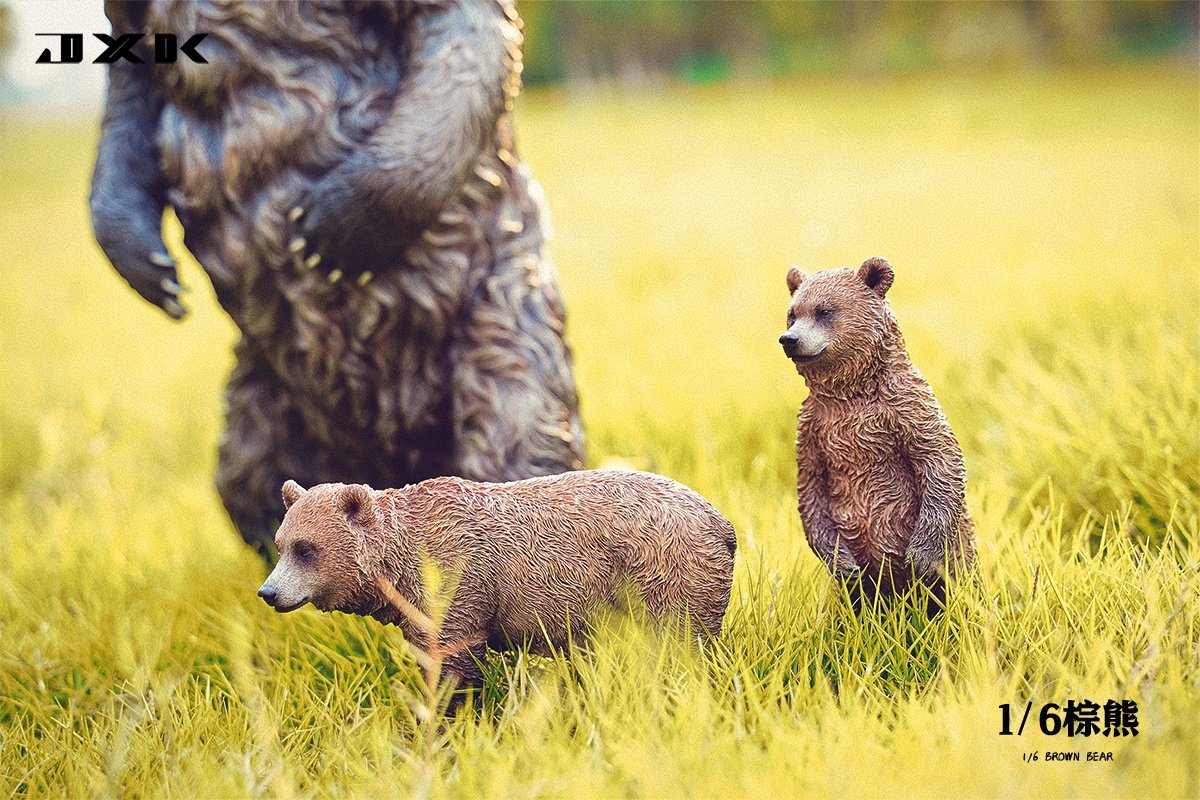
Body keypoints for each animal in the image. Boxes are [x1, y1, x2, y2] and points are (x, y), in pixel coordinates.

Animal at [89, 0, 584, 559]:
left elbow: (464, 48)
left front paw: (328, 231)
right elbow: (127, 102)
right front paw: (150, 268)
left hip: (504, 336)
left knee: (515, 442)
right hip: (253, 416)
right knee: (251, 485)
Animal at [256, 471, 737, 691]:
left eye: (306, 548)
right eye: (281, 544)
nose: (268, 592)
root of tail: (724, 523)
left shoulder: (459, 581)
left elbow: (455, 668)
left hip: (665, 574)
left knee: (681, 650)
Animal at [778, 257, 975, 614]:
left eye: (825, 310)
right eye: (793, 313)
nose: (789, 339)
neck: (850, 392)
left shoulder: (905, 406)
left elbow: (941, 461)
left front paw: (920, 555)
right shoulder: (814, 426)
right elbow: (810, 485)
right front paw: (842, 562)